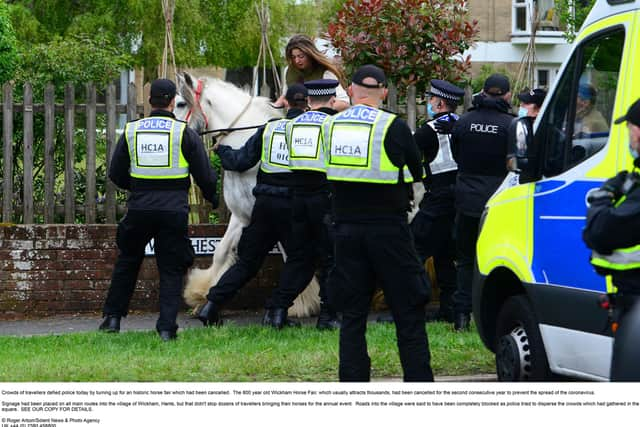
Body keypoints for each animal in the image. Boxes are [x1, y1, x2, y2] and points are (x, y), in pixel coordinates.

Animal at [174, 72, 320, 318]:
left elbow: (290, 255)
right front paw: (202, 294)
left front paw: (299, 303)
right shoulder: (242, 215)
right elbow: (221, 252)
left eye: (181, 103)